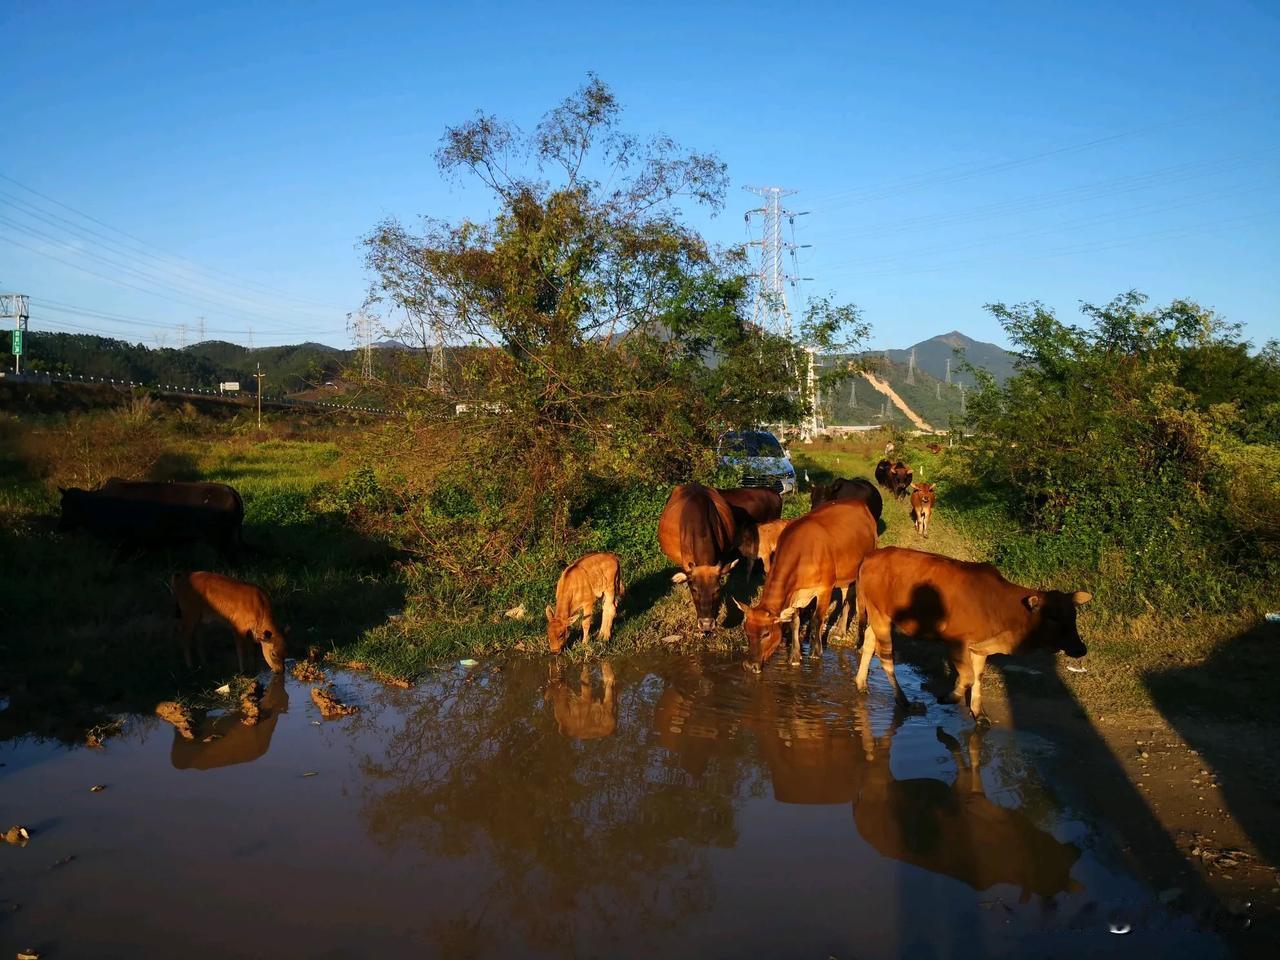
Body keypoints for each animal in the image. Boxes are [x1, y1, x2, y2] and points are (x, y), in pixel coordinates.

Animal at [737, 499, 875, 670]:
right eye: (747, 633)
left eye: (766, 634)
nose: (750, 665)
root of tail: (861, 504)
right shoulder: (794, 593)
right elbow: (794, 621)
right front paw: (795, 656)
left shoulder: (825, 589)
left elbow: (817, 620)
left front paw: (816, 652)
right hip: (845, 575)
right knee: (846, 596)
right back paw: (840, 631)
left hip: (861, 571)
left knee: (858, 602)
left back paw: (857, 640)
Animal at [849, 552, 1090, 716]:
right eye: (1053, 617)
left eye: (1073, 615)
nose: (1080, 648)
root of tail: (871, 557)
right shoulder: (956, 641)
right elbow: (967, 676)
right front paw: (950, 697)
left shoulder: (980, 647)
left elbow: (978, 676)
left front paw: (978, 712)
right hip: (880, 616)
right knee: (885, 658)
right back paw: (904, 701)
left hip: (877, 617)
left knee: (868, 642)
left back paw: (861, 683)